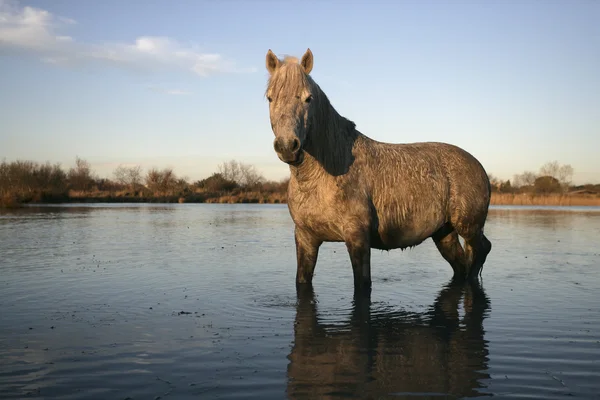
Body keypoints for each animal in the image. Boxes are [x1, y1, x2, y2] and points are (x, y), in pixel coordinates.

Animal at [264, 48, 490, 290]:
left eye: (308, 98)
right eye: (270, 97)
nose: (288, 146)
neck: (321, 177)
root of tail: (478, 165)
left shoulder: (357, 239)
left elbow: (362, 285)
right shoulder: (306, 238)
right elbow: (302, 281)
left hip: (469, 228)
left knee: (480, 252)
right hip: (444, 233)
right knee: (461, 265)